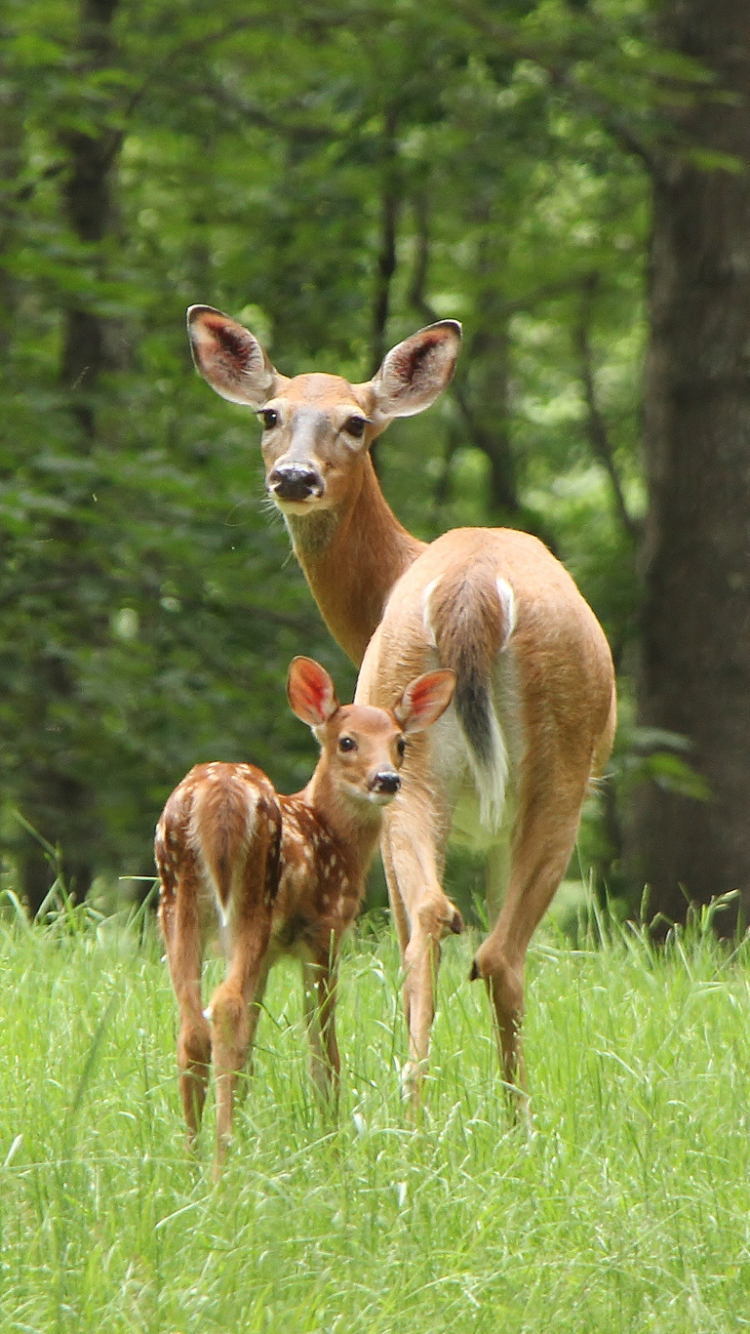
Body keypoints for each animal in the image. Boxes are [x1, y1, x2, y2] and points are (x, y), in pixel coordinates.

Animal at [154, 650, 453, 1173]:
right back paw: (220, 1168)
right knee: (223, 1007)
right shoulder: (323, 931)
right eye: (347, 741)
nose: (387, 779)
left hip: (176, 899)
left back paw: (192, 1163)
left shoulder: (271, 954)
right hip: (252, 900)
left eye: (399, 743)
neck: (330, 835)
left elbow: (248, 1049)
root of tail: (215, 799)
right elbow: (323, 1050)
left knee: (194, 1027)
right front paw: (333, 1144)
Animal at [185, 306, 613, 1109]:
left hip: (430, 749)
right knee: (482, 945)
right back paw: (483, 1115)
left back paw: (427, 1106)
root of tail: (473, 589)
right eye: (270, 414)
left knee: (440, 926)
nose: (294, 476)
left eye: (355, 423)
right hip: (543, 769)